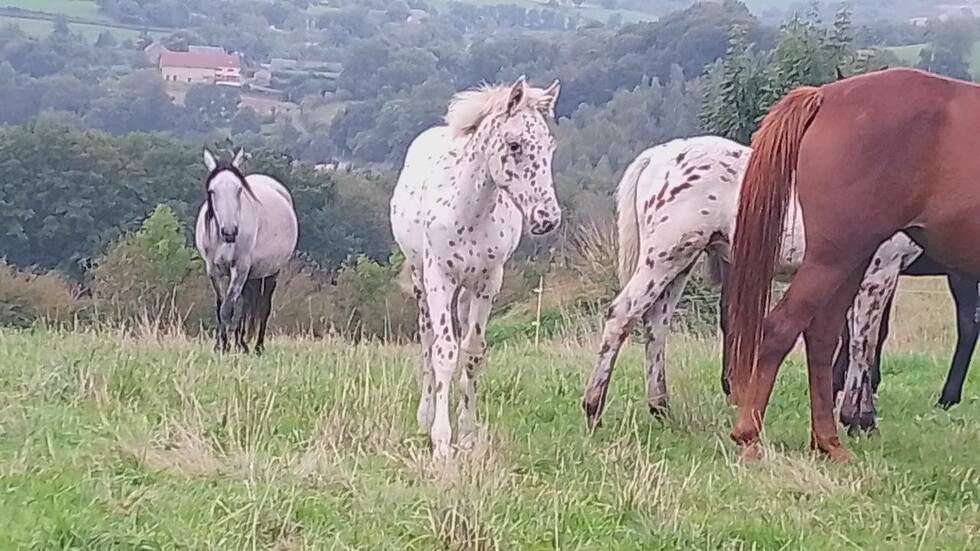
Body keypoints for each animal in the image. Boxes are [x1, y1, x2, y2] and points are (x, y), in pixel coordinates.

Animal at [195, 148, 298, 355]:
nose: (229, 232)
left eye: (239, 190)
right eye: (212, 191)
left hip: (270, 272)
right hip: (251, 275)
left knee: (263, 307)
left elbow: (228, 308)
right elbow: (222, 306)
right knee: (245, 304)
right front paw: (221, 345)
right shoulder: (214, 270)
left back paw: (257, 347)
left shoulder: (240, 268)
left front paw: (225, 347)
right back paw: (241, 343)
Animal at [391, 76, 562, 460]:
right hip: (422, 282)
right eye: (514, 144)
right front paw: (441, 442)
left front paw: (468, 432)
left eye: (550, 146)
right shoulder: (439, 279)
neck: (468, 211)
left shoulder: (487, 284)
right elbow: (444, 352)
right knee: (427, 342)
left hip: (466, 292)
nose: (547, 218)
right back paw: (424, 416)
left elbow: (472, 352)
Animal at [580, 136, 973, 431]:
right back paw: (594, 408)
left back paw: (660, 408)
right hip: (666, 255)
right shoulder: (880, 270)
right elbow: (864, 341)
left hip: (680, 261)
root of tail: (657, 156)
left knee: (655, 325)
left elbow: (858, 338)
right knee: (623, 314)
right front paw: (859, 418)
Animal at [727, 67, 980, 462]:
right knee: (782, 327)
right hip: (835, 257)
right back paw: (750, 436)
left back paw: (828, 440)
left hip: (853, 260)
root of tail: (826, 97)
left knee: (822, 336)